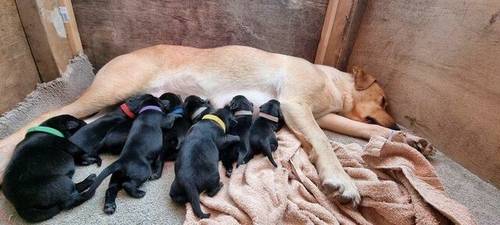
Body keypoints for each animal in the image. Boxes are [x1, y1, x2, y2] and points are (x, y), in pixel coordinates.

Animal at [0, 44, 434, 207]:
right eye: (383, 100)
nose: (396, 117)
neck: (333, 84)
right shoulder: (298, 106)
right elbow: (325, 144)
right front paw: (341, 180)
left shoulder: (325, 115)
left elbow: (365, 131)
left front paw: (407, 138)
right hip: (110, 89)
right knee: (44, 118)